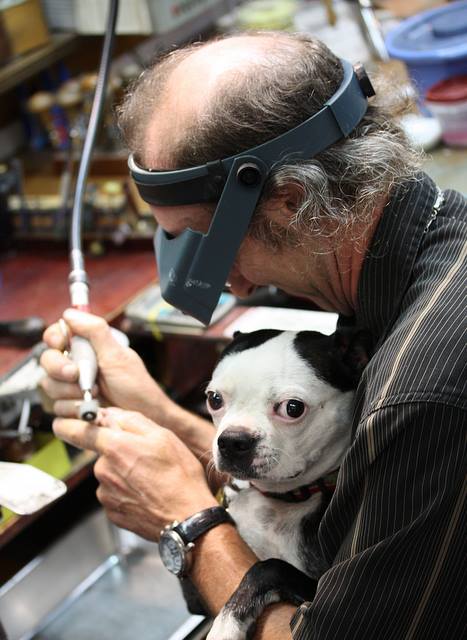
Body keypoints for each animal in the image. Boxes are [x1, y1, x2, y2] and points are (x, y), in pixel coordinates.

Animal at [205, 328, 370, 640]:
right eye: (214, 399)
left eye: (293, 408)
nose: (232, 440)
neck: (282, 498)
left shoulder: (312, 589)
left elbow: (267, 567)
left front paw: (225, 626)